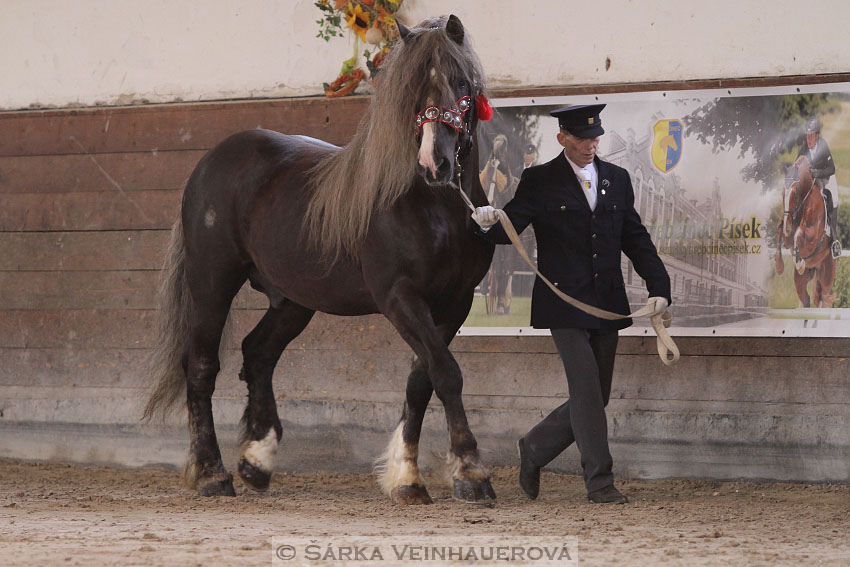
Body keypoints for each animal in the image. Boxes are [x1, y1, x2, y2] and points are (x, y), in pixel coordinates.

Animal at [141, 15, 496, 506]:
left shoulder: (455, 304)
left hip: (292, 300)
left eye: (461, 82)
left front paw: (406, 476)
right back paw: (213, 473)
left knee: (258, 353)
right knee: (200, 367)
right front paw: (470, 471)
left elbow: (422, 380)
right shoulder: (400, 298)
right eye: (411, 90)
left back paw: (256, 461)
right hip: (211, 284)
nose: (434, 163)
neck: (434, 206)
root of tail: (210, 164)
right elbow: (446, 373)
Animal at [772, 153, 832, 308]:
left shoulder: (813, 235)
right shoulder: (787, 234)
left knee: (821, 297)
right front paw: (779, 266)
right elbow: (780, 228)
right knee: (806, 299)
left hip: (826, 273)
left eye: (796, 191)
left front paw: (800, 263)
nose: (788, 227)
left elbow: (798, 233)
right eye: (783, 192)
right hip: (801, 280)